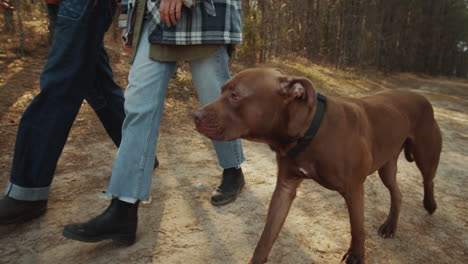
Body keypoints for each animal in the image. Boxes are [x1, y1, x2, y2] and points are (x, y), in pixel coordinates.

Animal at [192, 68, 440, 264]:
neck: (309, 130)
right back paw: (390, 225)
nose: (195, 115)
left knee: (428, 179)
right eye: (222, 91)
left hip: (426, 155)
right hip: (386, 166)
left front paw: (356, 256)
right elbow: (267, 236)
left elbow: (357, 228)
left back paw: (429, 204)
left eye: (235, 95)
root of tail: (420, 96)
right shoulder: (284, 189)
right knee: (397, 192)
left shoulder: (353, 190)